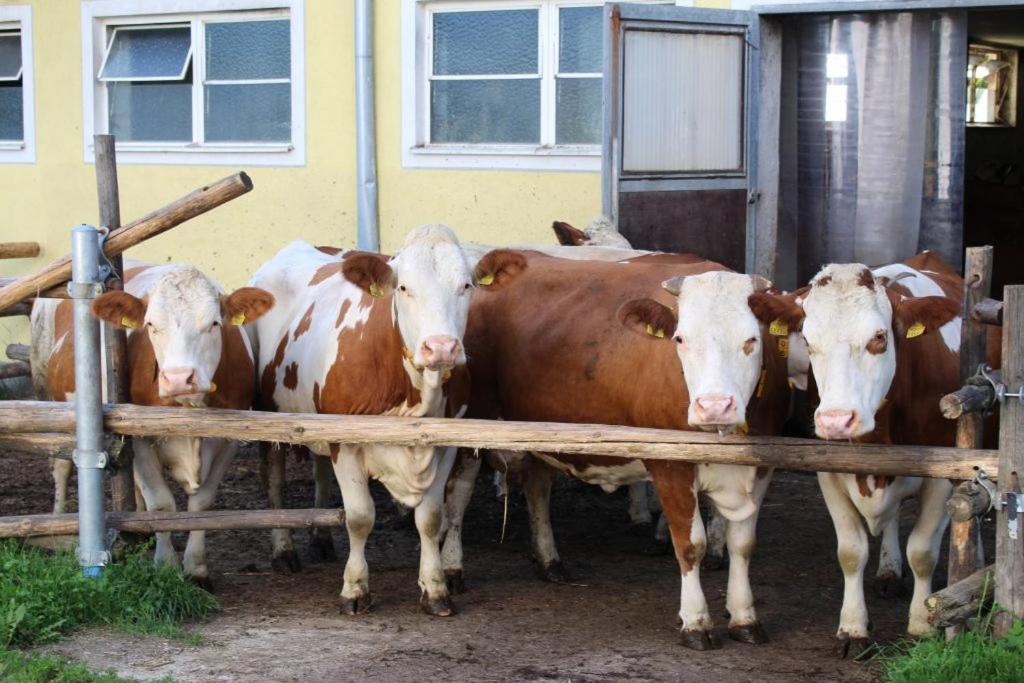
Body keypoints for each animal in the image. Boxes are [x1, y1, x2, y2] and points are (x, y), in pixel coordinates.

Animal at [29, 262, 274, 589]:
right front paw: (166, 566)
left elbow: (201, 505)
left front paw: (197, 568)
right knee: (61, 465)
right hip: (47, 393)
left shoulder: (229, 439)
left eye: (214, 323)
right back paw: (57, 522)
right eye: (150, 325)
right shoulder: (138, 435)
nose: (179, 378)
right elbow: (162, 504)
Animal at [448, 250, 790, 651]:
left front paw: (744, 617)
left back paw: (549, 560)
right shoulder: (671, 465)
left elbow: (743, 545)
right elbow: (691, 544)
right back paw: (451, 570)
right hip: (472, 422)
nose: (714, 406)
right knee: (457, 495)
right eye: (680, 339)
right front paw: (695, 621)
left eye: (752, 340)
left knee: (538, 487)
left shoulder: (762, 466)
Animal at [749, 250, 1003, 655]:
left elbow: (923, 551)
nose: (836, 420)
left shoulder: (942, 473)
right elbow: (851, 552)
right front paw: (853, 627)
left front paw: (921, 625)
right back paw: (888, 568)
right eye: (808, 339)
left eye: (880, 338)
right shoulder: (829, 470)